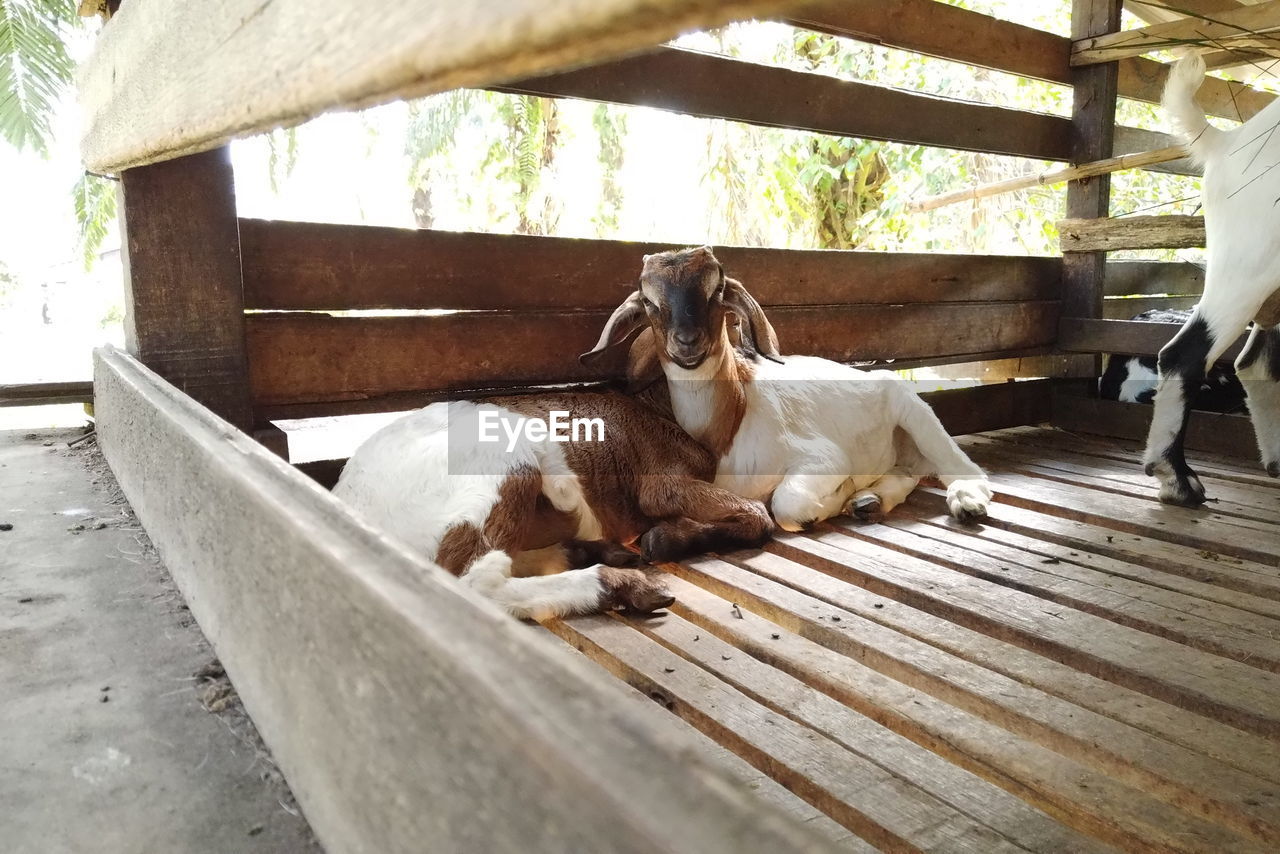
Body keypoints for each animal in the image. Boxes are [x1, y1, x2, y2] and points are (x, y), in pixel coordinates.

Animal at [586, 243, 993, 530]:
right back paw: (870, 501)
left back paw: (967, 502)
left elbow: (787, 505)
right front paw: (852, 497)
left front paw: (835, 497)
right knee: (907, 471)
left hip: (914, 412)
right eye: (649, 301)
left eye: (716, 290)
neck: (730, 423)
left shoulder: (822, 459)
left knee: (966, 469)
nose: (686, 342)